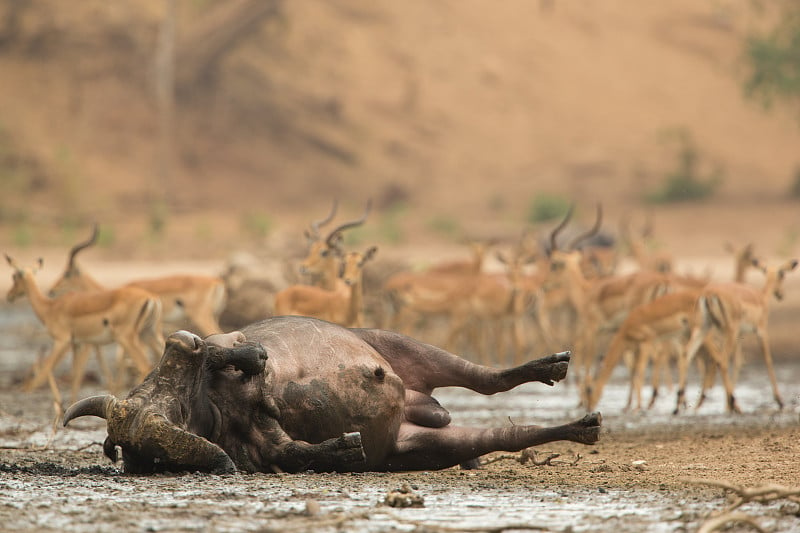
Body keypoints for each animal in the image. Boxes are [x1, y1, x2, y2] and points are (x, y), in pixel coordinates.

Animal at [4, 255, 164, 400]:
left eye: (14, 276)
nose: (9, 295)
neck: (50, 308)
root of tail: (151, 298)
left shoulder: (62, 341)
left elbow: (46, 370)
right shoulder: (77, 343)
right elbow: (75, 375)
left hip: (126, 338)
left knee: (144, 365)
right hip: (148, 333)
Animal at [64, 314, 600, 472]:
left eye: (172, 399)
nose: (181, 343)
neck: (216, 405)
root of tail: (417, 404)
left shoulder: (223, 342)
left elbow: (228, 349)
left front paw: (255, 358)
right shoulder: (261, 450)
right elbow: (296, 452)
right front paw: (344, 446)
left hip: (393, 342)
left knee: (485, 377)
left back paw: (550, 367)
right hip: (420, 446)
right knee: (504, 435)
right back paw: (581, 426)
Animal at [676, 256, 800, 414]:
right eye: (782, 274)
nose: (780, 294)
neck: (761, 298)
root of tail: (709, 293)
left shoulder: (739, 335)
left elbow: (738, 361)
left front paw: (727, 405)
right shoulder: (761, 331)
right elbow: (768, 360)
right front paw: (779, 401)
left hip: (704, 329)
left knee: (687, 354)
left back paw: (678, 406)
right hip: (729, 331)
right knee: (722, 360)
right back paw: (734, 403)